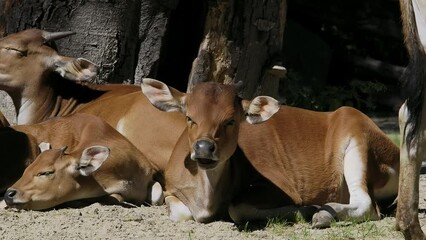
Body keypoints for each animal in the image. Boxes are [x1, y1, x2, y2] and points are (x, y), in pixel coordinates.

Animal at [142, 79, 400, 229]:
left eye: (230, 120)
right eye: (189, 117)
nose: (204, 148)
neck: (207, 201)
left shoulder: (282, 187)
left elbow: (237, 208)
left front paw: (309, 209)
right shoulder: (170, 189)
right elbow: (179, 212)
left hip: (357, 134)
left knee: (367, 204)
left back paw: (324, 214)